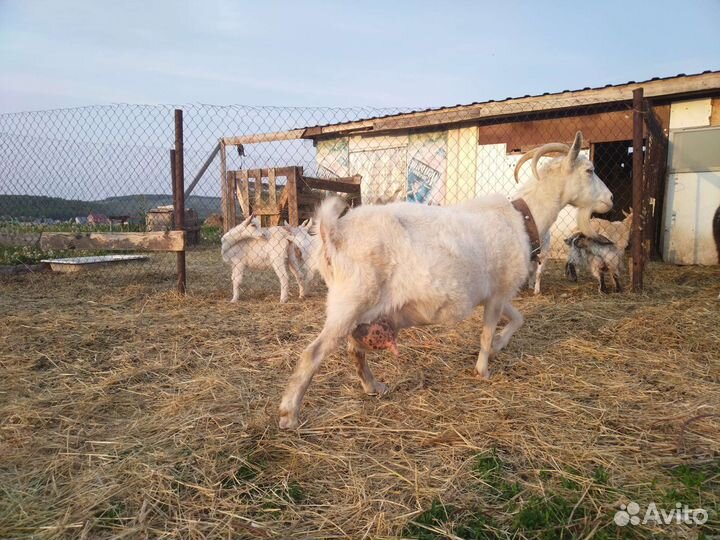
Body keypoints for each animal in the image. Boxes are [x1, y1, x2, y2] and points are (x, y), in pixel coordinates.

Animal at [278, 131, 613, 429]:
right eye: (589, 170)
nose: (610, 199)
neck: (522, 218)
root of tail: (333, 233)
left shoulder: (495, 293)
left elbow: (519, 318)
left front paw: (500, 344)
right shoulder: (498, 292)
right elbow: (486, 335)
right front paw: (484, 368)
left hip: (361, 310)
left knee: (354, 349)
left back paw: (375, 388)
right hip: (350, 301)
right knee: (312, 354)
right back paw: (289, 415)